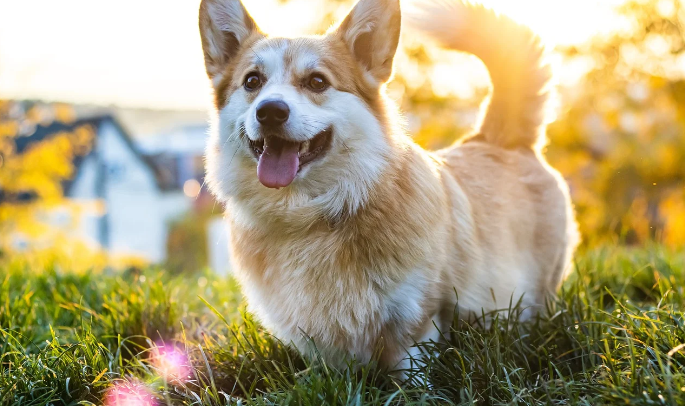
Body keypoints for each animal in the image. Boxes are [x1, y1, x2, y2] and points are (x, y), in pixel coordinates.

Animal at [196, 0, 576, 374]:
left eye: (317, 82)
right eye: (252, 81)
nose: (270, 111)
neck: (311, 214)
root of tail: (502, 140)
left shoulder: (417, 318)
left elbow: (412, 372)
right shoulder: (319, 341)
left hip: (538, 290)